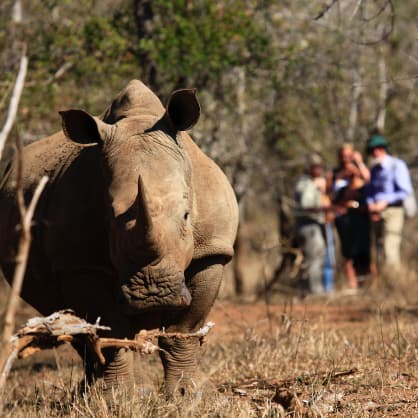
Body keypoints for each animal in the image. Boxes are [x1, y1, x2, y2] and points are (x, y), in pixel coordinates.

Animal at [0, 81, 238, 396]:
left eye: (187, 215)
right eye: (110, 219)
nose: (153, 295)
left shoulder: (210, 251)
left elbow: (183, 329)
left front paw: (184, 395)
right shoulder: (81, 263)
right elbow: (110, 330)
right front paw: (116, 397)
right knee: (73, 327)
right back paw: (91, 393)